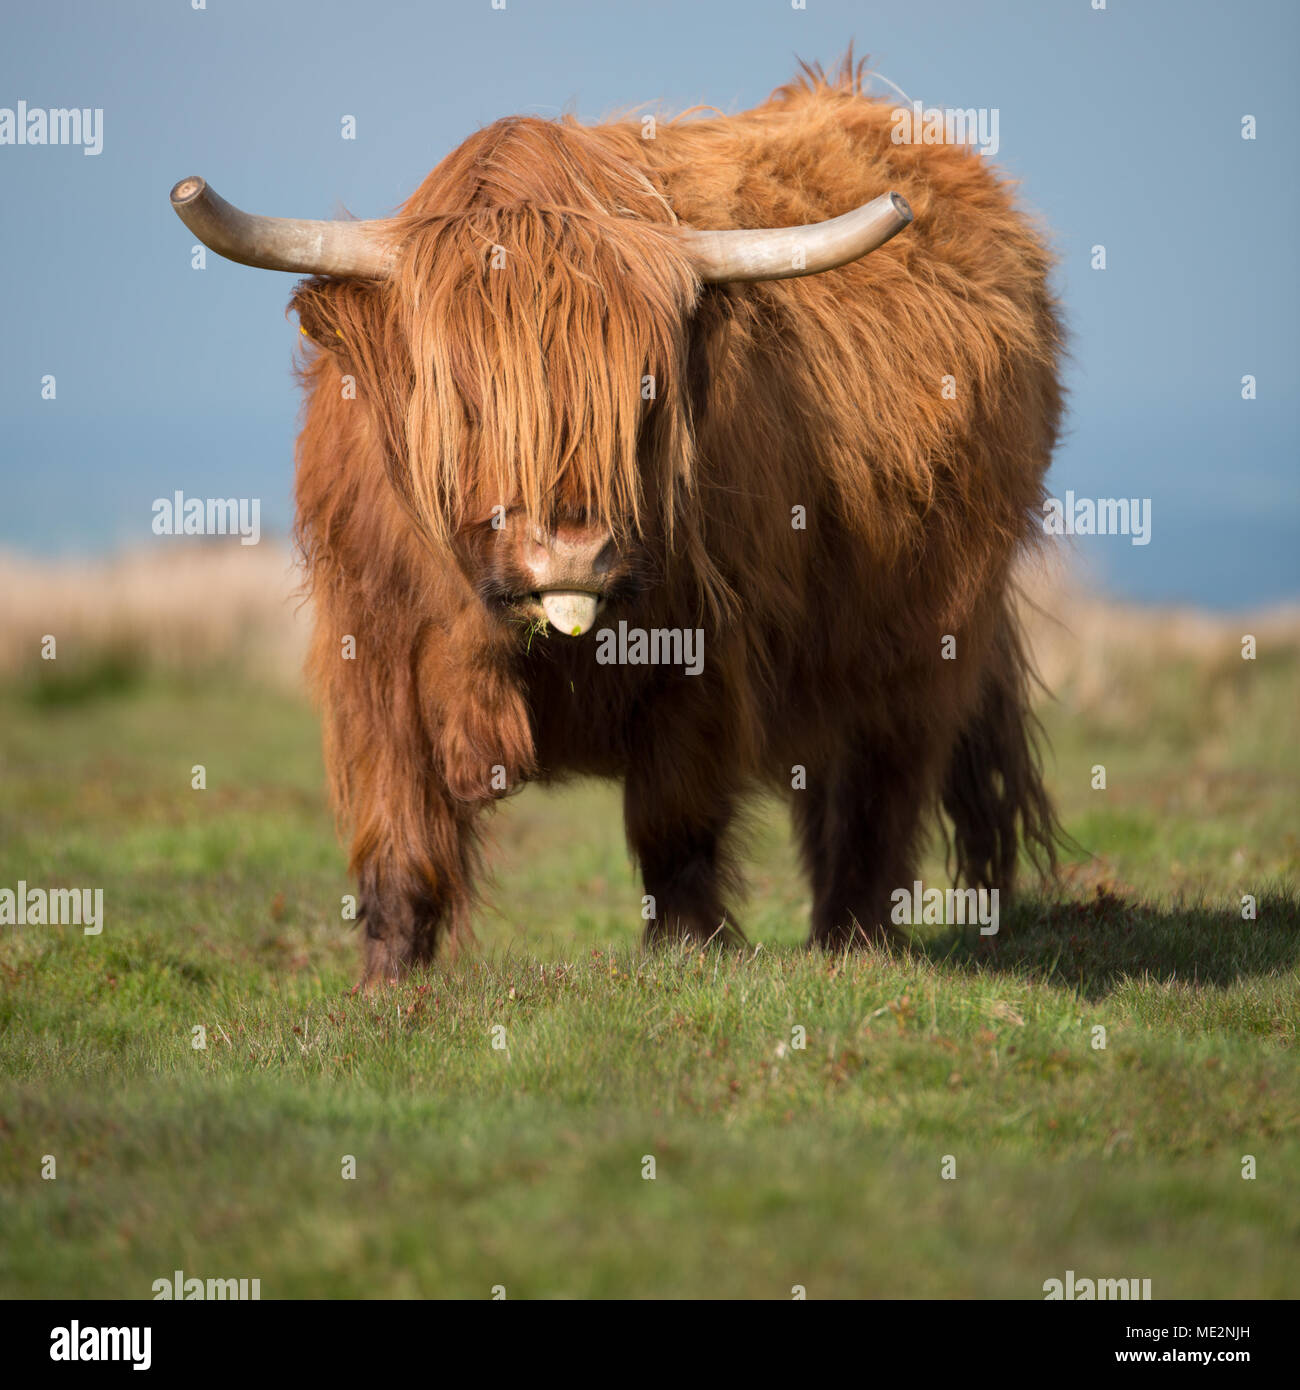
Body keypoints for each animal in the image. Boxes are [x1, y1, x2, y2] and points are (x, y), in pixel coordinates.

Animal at [171, 57, 1064, 984]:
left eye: (646, 392)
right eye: (466, 398)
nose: (572, 550)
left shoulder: (701, 655)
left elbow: (676, 827)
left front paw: (686, 954)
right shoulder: (376, 654)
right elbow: (398, 835)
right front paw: (386, 984)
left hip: (923, 642)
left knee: (876, 794)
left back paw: (853, 945)